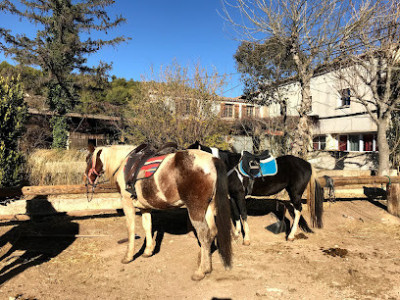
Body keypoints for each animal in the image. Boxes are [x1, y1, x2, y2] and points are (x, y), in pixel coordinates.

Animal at [85, 144, 234, 280]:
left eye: (87, 159)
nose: (87, 179)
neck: (123, 163)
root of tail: (212, 160)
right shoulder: (145, 207)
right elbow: (147, 226)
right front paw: (148, 251)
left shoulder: (126, 202)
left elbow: (131, 229)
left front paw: (128, 256)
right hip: (208, 208)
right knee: (212, 232)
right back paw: (206, 266)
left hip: (195, 209)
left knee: (204, 234)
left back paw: (200, 271)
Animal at [188, 142, 324, 245]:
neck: (229, 167)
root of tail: (307, 164)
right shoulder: (233, 196)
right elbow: (236, 214)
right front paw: (236, 234)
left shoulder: (240, 195)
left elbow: (243, 214)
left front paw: (246, 239)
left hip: (295, 193)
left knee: (298, 211)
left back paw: (290, 236)